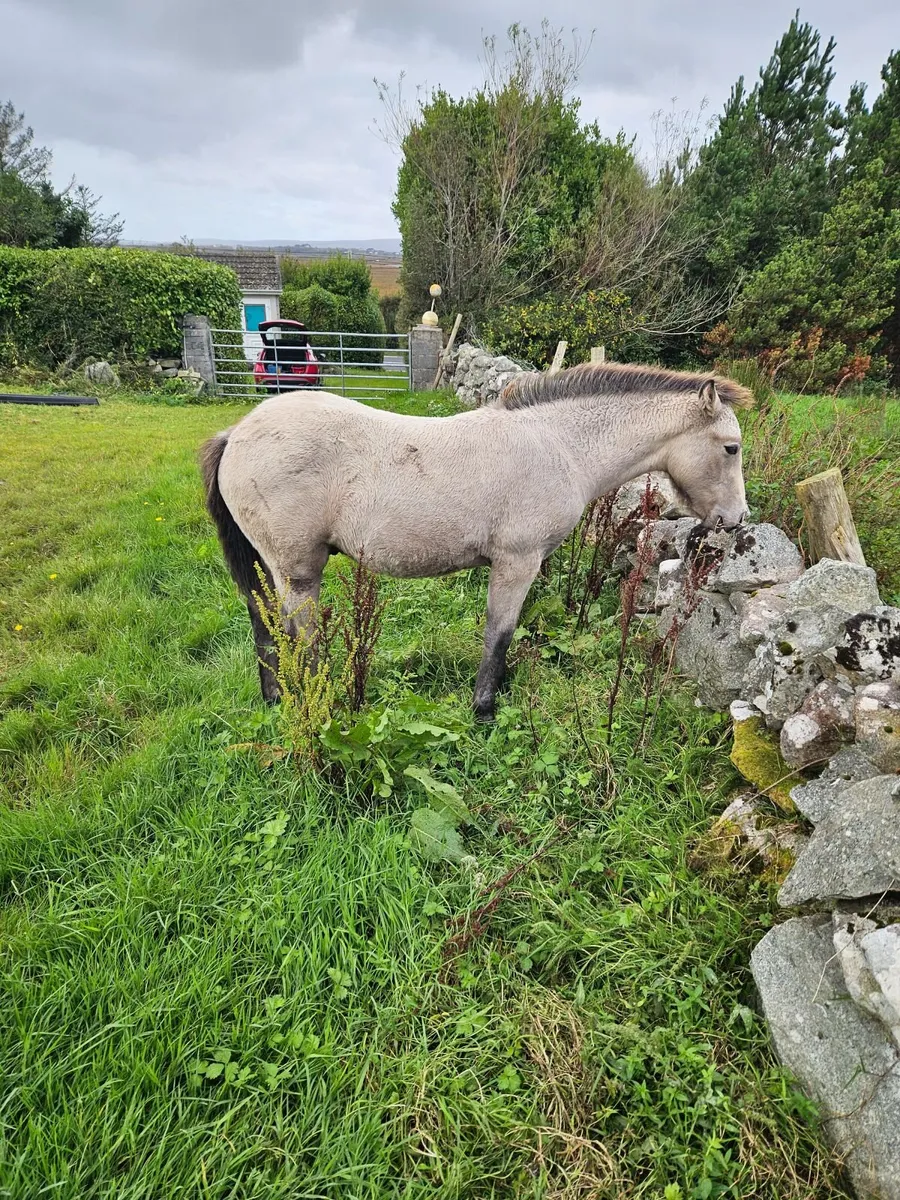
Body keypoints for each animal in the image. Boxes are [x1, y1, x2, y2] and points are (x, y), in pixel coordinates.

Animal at [200, 362, 752, 720]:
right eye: (731, 448)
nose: (736, 519)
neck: (559, 445)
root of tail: (236, 433)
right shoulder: (518, 561)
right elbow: (499, 632)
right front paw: (484, 708)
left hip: (267, 567)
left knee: (264, 626)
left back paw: (275, 699)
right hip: (298, 571)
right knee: (300, 638)